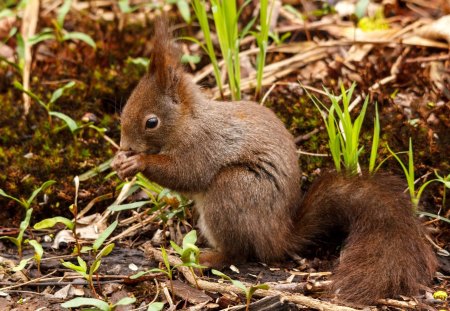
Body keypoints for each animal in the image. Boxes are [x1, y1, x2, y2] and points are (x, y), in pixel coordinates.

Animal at [110, 19, 438, 304]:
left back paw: (207, 258)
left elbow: (186, 174)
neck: (187, 122)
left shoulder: (202, 146)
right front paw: (118, 160)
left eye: (151, 122)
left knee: (239, 252)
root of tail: (278, 235)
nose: (125, 146)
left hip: (232, 189)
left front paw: (137, 162)